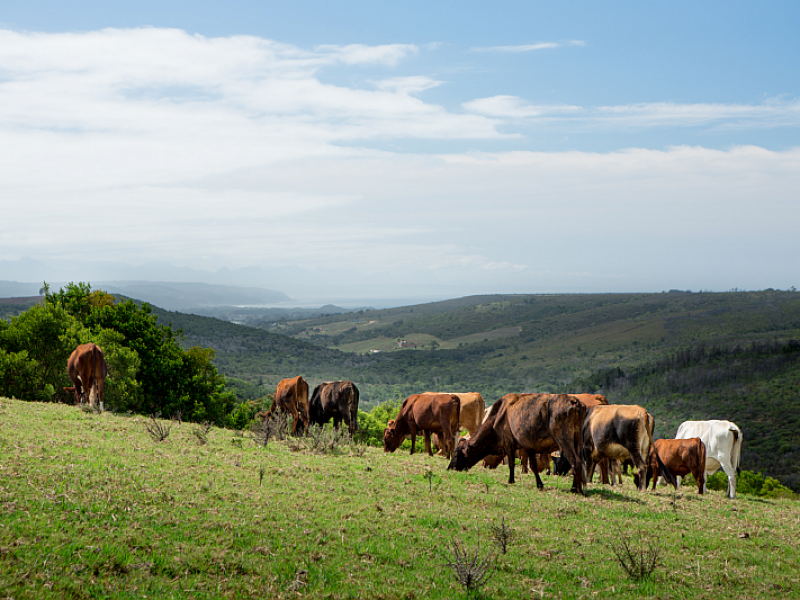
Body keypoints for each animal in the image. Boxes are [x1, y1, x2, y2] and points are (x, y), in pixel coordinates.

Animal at [446, 392, 584, 494]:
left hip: (564, 440)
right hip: (578, 440)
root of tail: (574, 401)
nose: (449, 468)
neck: (497, 417)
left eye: (456, 454)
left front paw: (511, 480)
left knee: (575, 461)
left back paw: (575, 489)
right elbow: (533, 466)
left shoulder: (508, 441)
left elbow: (511, 463)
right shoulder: (528, 446)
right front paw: (539, 485)